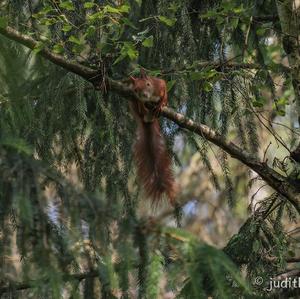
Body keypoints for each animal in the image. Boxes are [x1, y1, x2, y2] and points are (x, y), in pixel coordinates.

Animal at [129, 70, 176, 205]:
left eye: (148, 84)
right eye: (136, 89)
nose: (144, 95)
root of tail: (147, 121)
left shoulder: (159, 85)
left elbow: (164, 88)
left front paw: (161, 103)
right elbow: (137, 100)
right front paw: (141, 103)